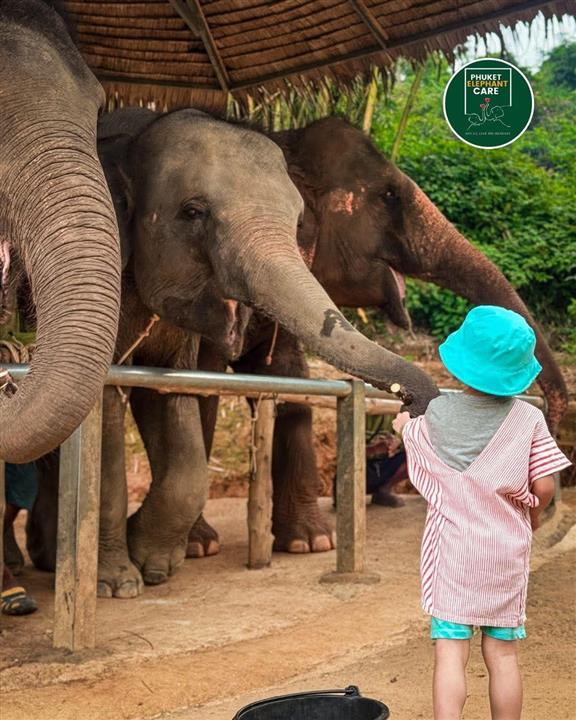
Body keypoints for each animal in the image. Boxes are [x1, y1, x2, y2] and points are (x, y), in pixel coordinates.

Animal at [26, 107, 439, 597]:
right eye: (192, 212)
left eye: (298, 222)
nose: (412, 400)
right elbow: (106, 401)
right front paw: (118, 584)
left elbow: (176, 399)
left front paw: (155, 563)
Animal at [186, 116, 569, 557]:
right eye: (389, 195)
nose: (552, 423)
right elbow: (202, 383)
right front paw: (199, 545)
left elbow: (289, 379)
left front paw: (309, 542)